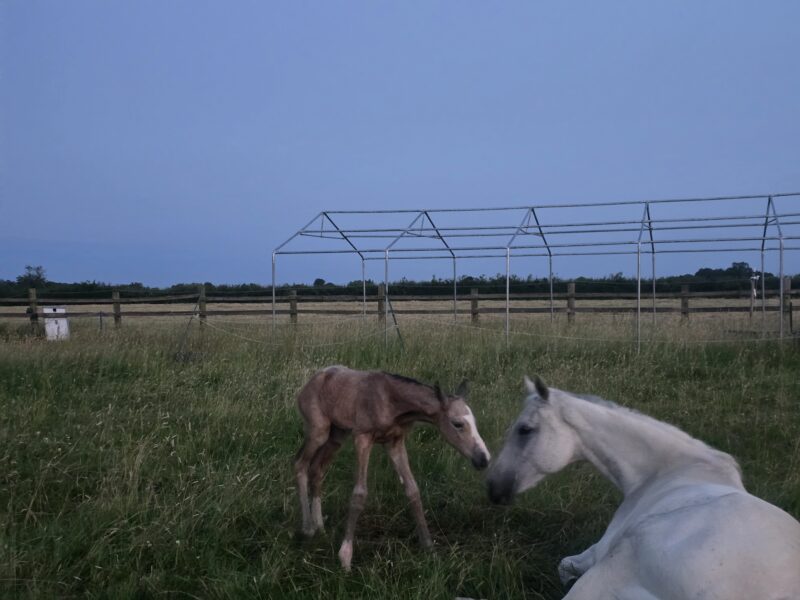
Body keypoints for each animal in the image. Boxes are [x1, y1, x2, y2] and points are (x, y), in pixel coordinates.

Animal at [294, 365, 491, 571]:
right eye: (457, 423)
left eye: (474, 422)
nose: (483, 459)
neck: (392, 402)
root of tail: (308, 385)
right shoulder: (362, 437)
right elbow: (359, 494)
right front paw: (345, 558)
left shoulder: (395, 442)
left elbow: (413, 490)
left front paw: (429, 548)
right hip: (318, 431)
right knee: (300, 464)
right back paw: (308, 528)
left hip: (337, 435)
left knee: (317, 469)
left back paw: (319, 527)